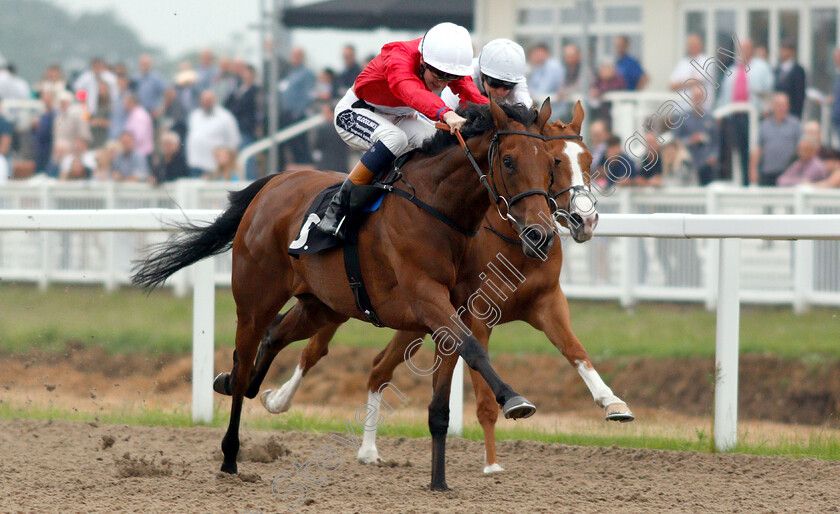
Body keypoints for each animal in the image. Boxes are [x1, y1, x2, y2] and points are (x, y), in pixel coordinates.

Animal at [133, 99, 556, 488]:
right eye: (509, 162)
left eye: (551, 164)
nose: (542, 233)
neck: (438, 208)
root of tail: (274, 184)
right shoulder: (426, 298)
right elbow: (474, 347)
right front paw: (514, 399)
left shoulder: (455, 311)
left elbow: (442, 402)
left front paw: (439, 482)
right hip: (255, 300)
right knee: (247, 362)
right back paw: (230, 456)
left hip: (321, 306)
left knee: (271, 342)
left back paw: (241, 384)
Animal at [260, 101, 632, 472]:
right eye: (556, 161)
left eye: (588, 160)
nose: (586, 219)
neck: (511, 240)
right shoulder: (477, 314)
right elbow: (483, 392)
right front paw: (492, 463)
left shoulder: (546, 302)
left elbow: (575, 350)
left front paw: (613, 402)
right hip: (342, 300)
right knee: (314, 350)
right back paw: (278, 400)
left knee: (379, 367)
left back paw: (367, 449)